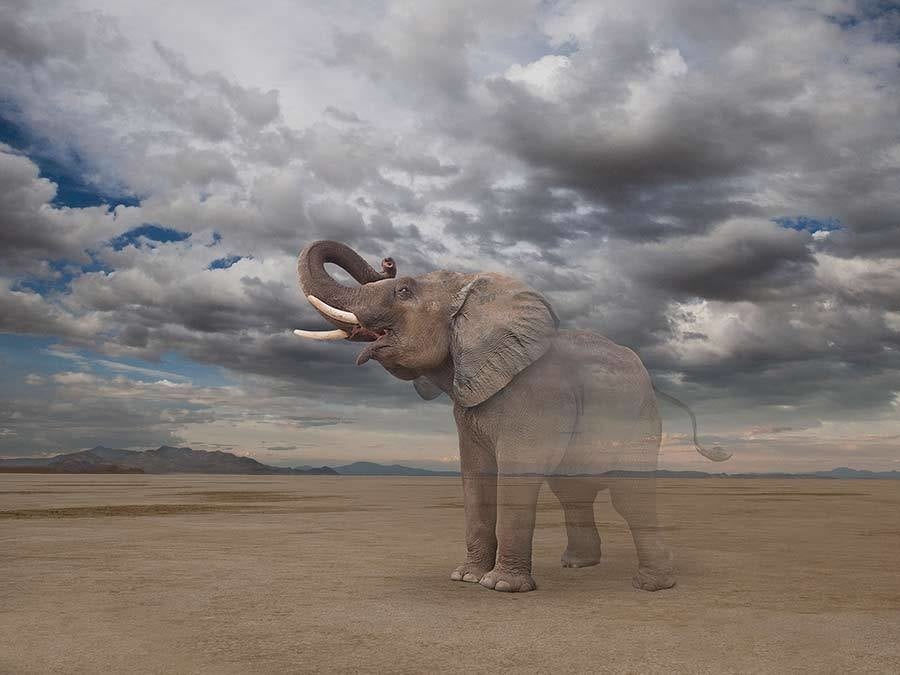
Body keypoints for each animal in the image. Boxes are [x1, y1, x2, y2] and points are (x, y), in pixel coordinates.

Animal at [293, 240, 730, 593]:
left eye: (403, 290)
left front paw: (501, 587)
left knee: (630, 496)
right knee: (572, 493)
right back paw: (578, 566)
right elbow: (475, 477)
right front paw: (465, 578)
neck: (476, 291)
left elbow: (517, 475)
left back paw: (651, 585)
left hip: (638, 418)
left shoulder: (535, 396)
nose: (388, 261)